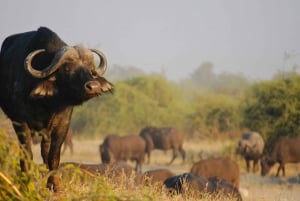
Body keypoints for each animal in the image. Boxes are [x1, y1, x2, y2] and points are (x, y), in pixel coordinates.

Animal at [0, 27, 113, 192]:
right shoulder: (20, 123)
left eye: (90, 69)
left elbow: (53, 156)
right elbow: (27, 155)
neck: (47, 104)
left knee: (45, 151)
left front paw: (54, 184)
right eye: (67, 68)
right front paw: (26, 184)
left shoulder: (62, 124)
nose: (94, 86)